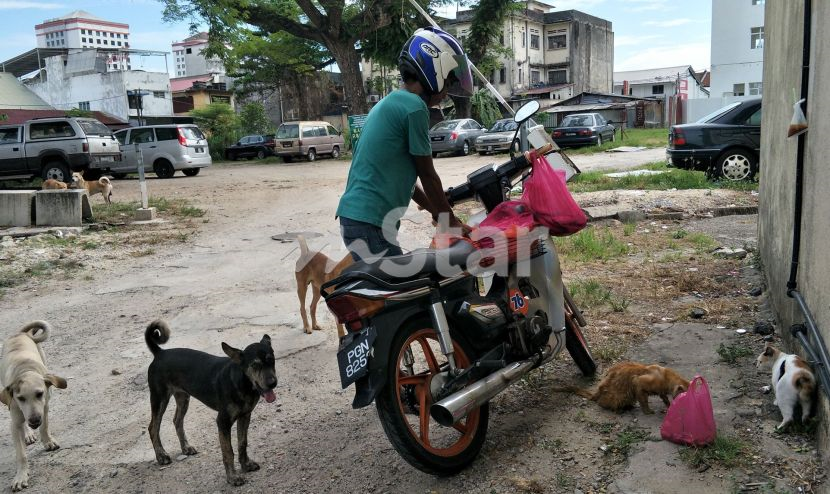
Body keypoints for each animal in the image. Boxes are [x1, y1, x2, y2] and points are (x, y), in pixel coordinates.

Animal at [0, 320, 67, 490]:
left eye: (39, 394)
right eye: (20, 398)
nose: (34, 420)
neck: (25, 370)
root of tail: (21, 333)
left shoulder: (45, 406)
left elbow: (45, 426)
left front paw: (48, 441)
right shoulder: (15, 420)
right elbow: (21, 454)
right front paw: (21, 476)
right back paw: (28, 434)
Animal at [146, 320, 280, 486]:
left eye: (271, 360)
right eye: (255, 365)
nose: (272, 383)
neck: (242, 382)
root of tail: (160, 353)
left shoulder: (245, 416)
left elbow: (242, 443)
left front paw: (246, 465)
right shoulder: (222, 421)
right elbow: (228, 451)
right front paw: (233, 477)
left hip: (183, 397)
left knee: (177, 420)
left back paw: (186, 448)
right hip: (159, 398)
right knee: (153, 427)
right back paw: (161, 456)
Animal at [556, 362, 692, 412]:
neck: (665, 376)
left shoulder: (661, 391)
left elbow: (664, 398)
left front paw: (668, 405)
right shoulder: (639, 382)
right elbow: (643, 400)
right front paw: (648, 411)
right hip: (621, 396)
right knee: (601, 402)